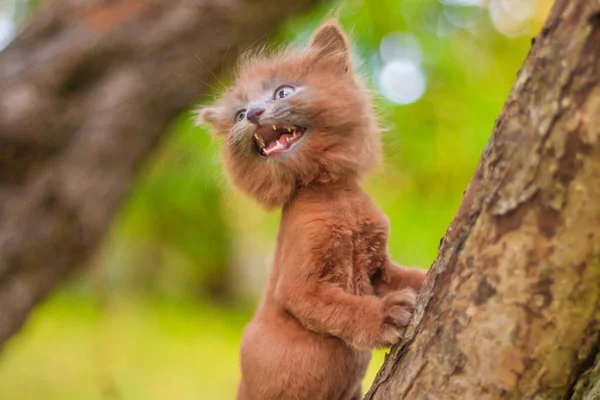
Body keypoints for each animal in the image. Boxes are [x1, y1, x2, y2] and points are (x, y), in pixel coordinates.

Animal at [197, 20, 426, 400]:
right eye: (240, 114)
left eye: (283, 93)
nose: (254, 114)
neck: (335, 194)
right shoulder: (301, 287)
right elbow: (343, 308)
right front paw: (383, 317)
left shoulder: (379, 268)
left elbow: (407, 276)